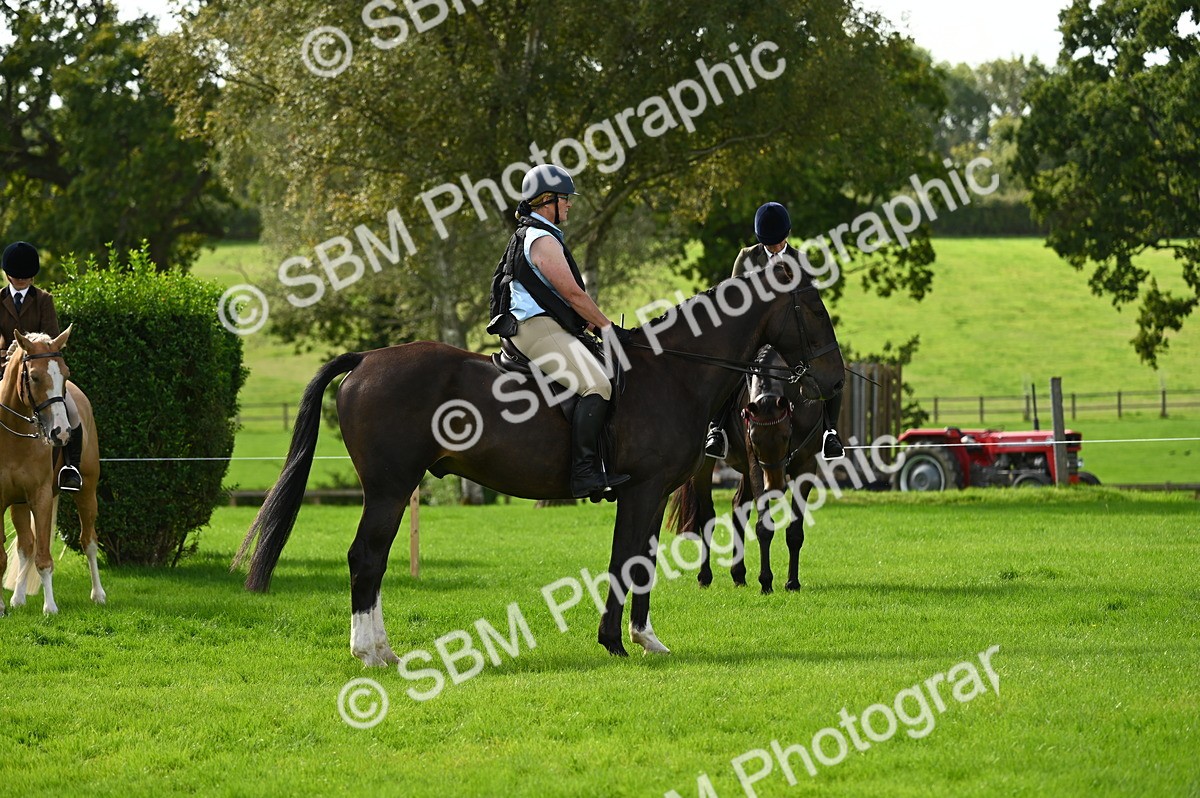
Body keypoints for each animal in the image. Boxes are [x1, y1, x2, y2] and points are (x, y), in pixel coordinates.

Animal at [0, 328, 105, 615]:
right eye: (34, 377)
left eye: (65, 373)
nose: (61, 432)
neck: (13, 435)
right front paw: (2, 605)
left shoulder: (42, 497)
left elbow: (44, 558)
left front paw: (50, 607)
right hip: (19, 504)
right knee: (26, 545)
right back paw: (18, 599)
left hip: (87, 492)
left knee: (89, 541)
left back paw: (98, 594)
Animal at [666, 347, 828, 594]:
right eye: (755, 440)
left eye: (786, 436)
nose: (775, 486)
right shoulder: (755, 464)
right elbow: (764, 526)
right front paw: (766, 581)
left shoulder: (806, 466)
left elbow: (794, 531)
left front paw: (792, 582)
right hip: (708, 466)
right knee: (707, 517)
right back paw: (705, 576)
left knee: (738, 509)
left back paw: (739, 575)